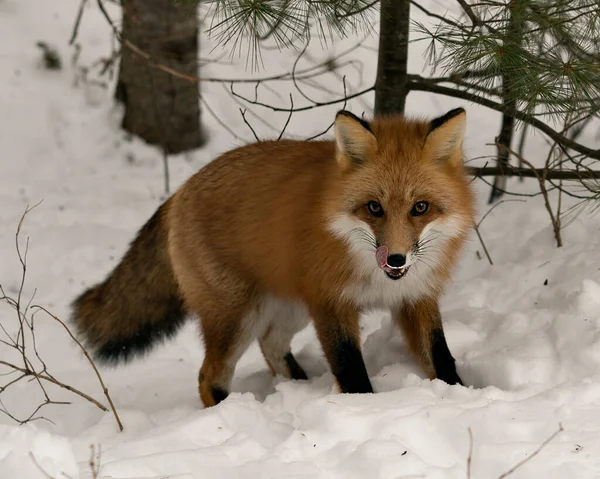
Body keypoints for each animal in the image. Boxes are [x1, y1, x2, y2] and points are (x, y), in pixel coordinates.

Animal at [71, 109, 474, 408]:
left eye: (420, 208)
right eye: (374, 208)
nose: (396, 260)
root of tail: (181, 190)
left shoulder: (416, 297)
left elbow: (440, 356)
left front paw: (459, 395)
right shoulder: (330, 303)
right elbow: (350, 369)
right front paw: (364, 409)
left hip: (288, 308)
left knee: (271, 346)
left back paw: (297, 386)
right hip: (237, 318)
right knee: (209, 377)